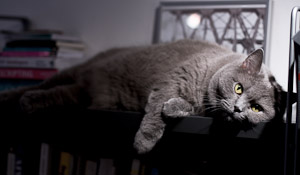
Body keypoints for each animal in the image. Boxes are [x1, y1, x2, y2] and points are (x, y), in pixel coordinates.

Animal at [0, 39, 282, 153]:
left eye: (257, 109)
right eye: (238, 88)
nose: (238, 109)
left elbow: (173, 106)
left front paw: (174, 108)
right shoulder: (174, 78)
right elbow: (156, 110)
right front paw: (144, 142)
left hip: (81, 94)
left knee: (59, 94)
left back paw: (28, 102)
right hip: (78, 71)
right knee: (45, 84)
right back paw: (14, 97)